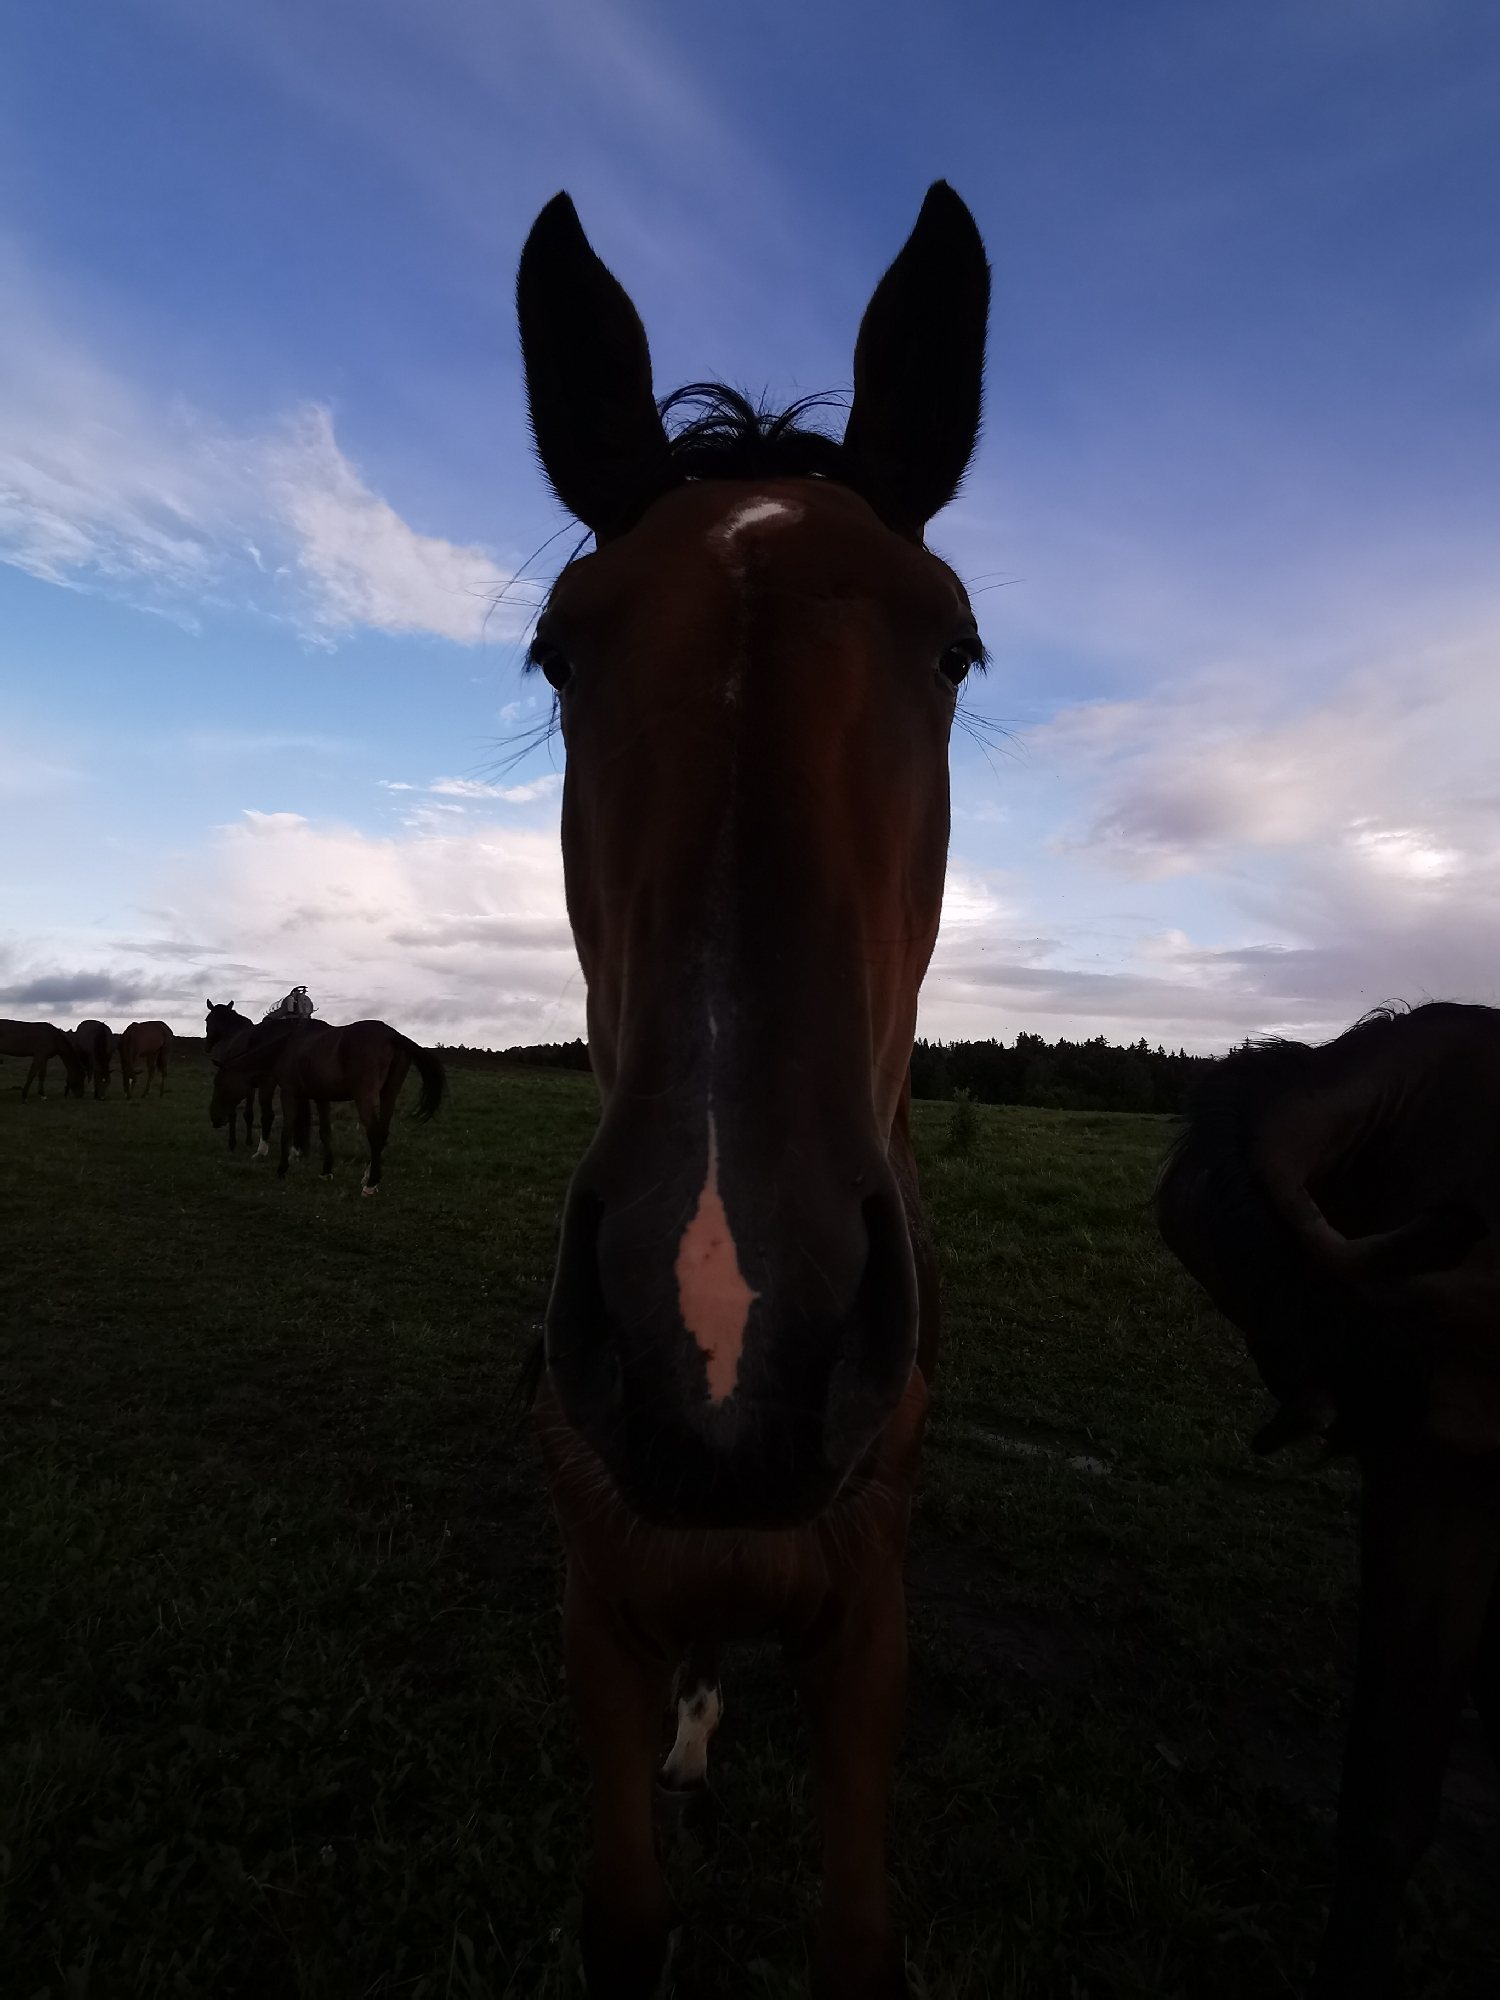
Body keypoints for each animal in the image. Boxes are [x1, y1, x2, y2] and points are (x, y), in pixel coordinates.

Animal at [204, 1001, 276, 1155]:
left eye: (207, 1020)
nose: (207, 1047)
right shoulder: (251, 1085)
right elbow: (248, 1115)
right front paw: (248, 1142)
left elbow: (236, 1113)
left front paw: (233, 1143)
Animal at [209, 1017, 444, 1191]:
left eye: (218, 1083)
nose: (214, 1119)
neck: (286, 1047)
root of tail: (392, 1036)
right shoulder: (321, 1098)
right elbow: (325, 1132)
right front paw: (326, 1170)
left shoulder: (289, 1093)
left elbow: (287, 1131)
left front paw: (282, 1169)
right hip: (389, 1095)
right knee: (383, 1133)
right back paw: (369, 1176)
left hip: (365, 1098)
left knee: (375, 1134)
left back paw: (370, 1183)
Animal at [516, 179, 987, 1997]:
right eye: (558, 656)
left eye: (955, 650)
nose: (723, 1328)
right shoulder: (599, 1602)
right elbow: (629, 1916)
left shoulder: (872, 1628)